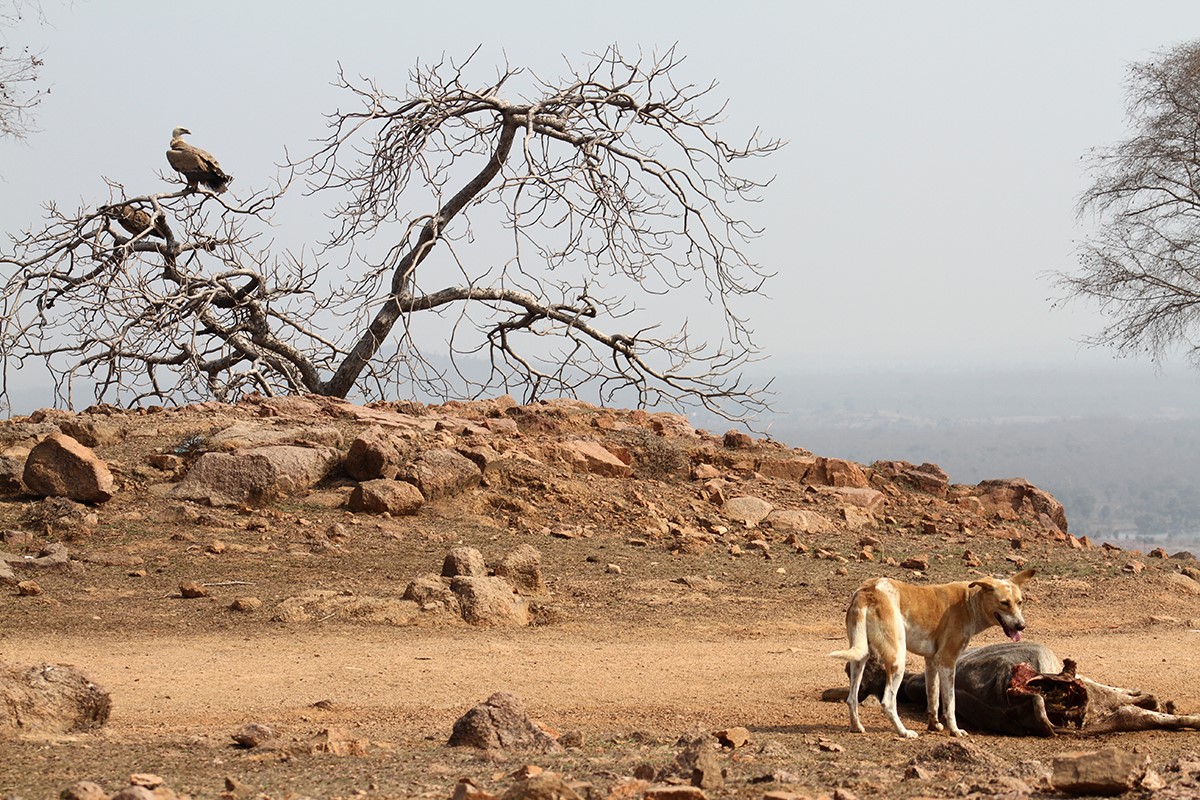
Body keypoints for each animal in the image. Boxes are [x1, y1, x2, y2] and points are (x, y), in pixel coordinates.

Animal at [830, 568, 1036, 738]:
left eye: (1019, 602)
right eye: (1004, 603)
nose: (1022, 626)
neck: (968, 603)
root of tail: (869, 590)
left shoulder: (931, 661)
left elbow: (933, 698)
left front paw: (934, 725)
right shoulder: (947, 661)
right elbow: (950, 703)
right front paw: (955, 730)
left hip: (860, 659)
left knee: (852, 698)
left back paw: (856, 726)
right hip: (898, 661)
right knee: (887, 702)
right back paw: (904, 732)